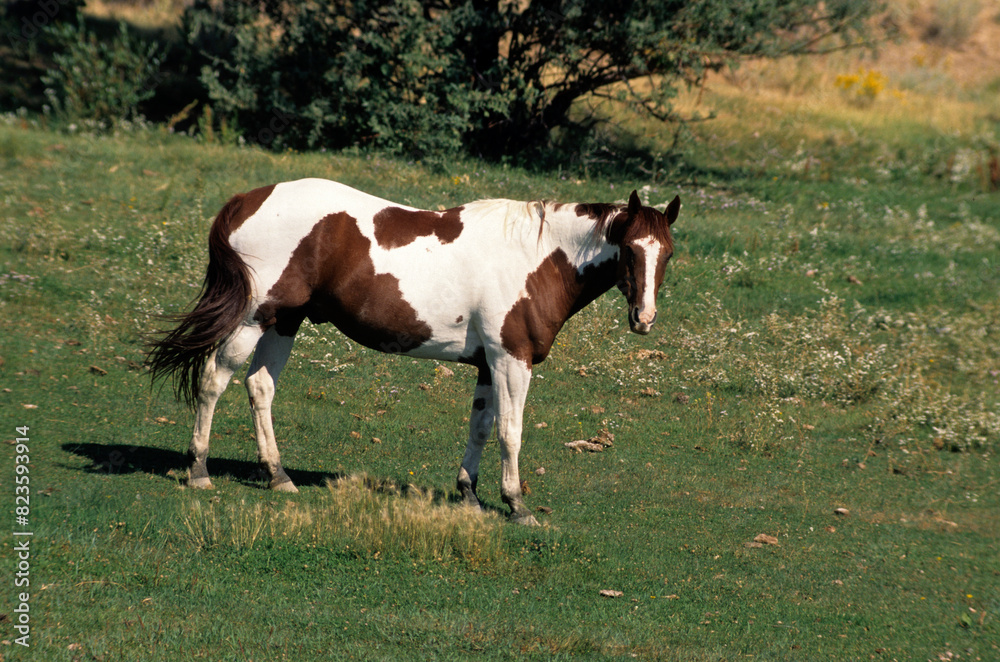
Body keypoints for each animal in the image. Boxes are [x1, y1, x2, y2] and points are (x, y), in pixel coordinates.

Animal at [147, 179, 680, 525]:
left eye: (667, 253)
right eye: (630, 250)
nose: (644, 318)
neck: (535, 257)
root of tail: (248, 199)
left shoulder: (487, 365)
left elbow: (480, 428)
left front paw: (469, 495)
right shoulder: (512, 360)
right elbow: (510, 433)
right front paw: (516, 504)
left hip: (284, 321)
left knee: (260, 387)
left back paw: (278, 476)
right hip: (253, 319)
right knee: (214, 380)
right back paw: (198, 470)